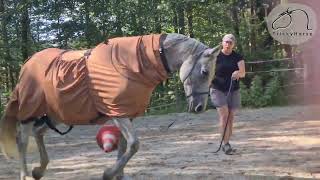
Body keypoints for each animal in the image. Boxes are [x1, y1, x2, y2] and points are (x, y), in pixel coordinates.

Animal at [0, 33, 220, 179]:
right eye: (204, 72)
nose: (199, 107)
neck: (130, 64)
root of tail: (28, 63)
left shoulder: (126, 113)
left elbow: (124, 146)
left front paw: (118, 174)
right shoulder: (118, 113)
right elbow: (134, 144)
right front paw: (108, 173)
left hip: (57, 113)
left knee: (38, 133)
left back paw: (39, 170)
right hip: (30, 110)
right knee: (22, 140)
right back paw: (25, 174)